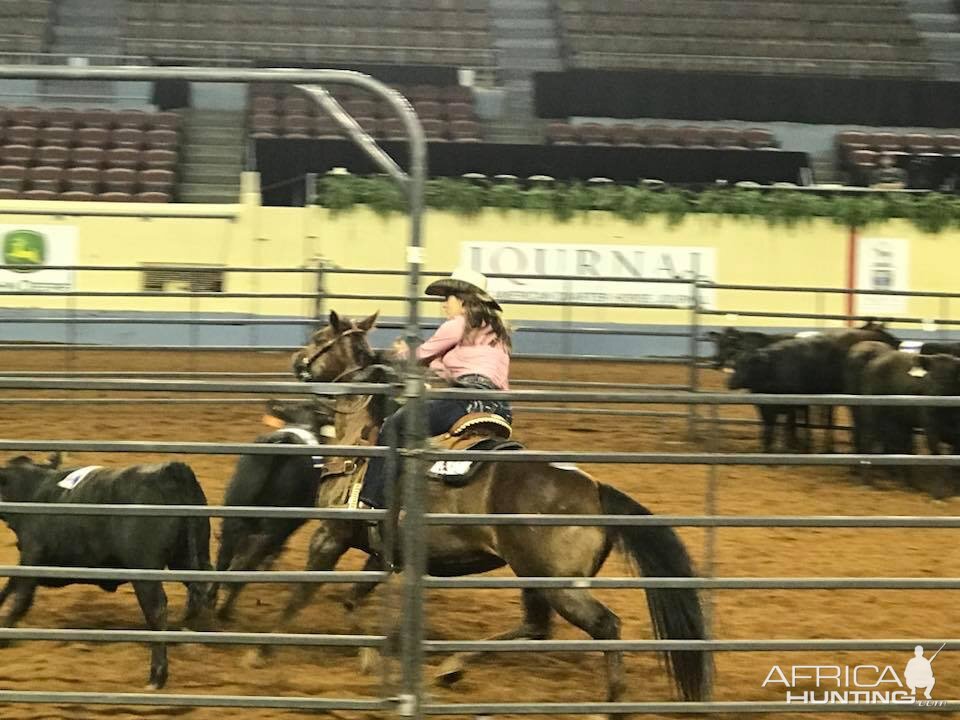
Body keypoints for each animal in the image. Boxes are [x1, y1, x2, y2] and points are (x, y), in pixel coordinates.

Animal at [0, 456, 216, 688]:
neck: (33, 489)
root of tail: (171, 470)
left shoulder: (32, 555)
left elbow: (20, 599)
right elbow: (9, 586)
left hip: (145, 571)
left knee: (157, 610)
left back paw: (157, 675)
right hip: (189, 556)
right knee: (208, 591)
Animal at [251, 310, 708, 704]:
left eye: (319, 338)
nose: (297, 360)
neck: (363, 439)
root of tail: (595, 490)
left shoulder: (331, 534)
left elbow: (302, 591)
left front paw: (261, 651)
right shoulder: (382, 553)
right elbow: (352, 599)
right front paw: (369, 656)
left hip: (557, 584)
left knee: (604, 625)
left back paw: (612, 701)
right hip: (534, 576)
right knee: (535, 627)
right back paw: (451, 667)